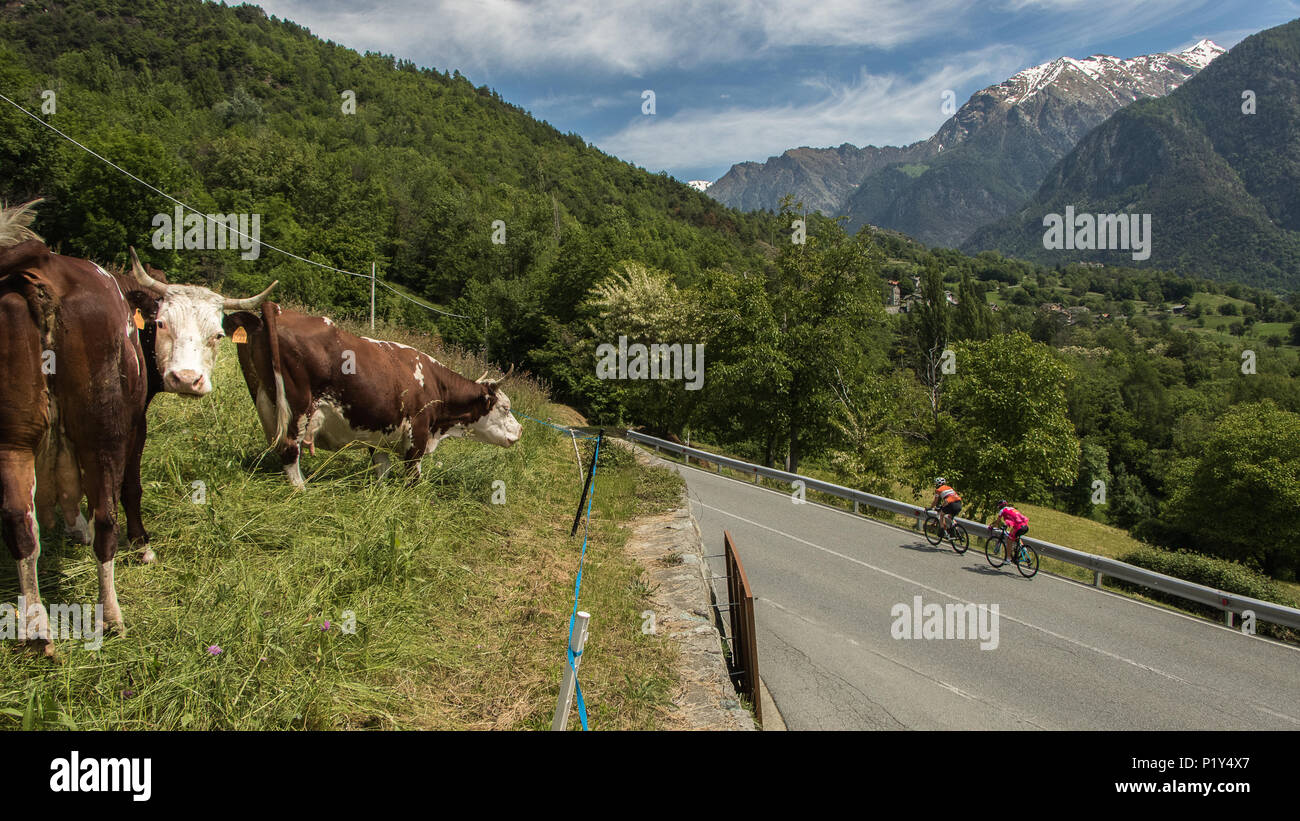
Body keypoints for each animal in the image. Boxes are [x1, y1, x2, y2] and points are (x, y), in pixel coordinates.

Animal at [0, 202, 274, 652]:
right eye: (162, 324)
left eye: (217, 334)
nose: (186, 379)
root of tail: (44, 266)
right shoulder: (135, 422)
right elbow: (129, 486)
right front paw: (140, 544)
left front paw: (73, 525)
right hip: (105, 432)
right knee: (106, 517)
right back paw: (111, 615)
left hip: (15, 439)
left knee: (21, 525)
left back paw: (37, 629)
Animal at [223, 302, 522, 488]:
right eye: (506, 407)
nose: (520, 430)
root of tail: (275, 309)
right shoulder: (417, 433)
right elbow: (413, 477)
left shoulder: (380, 432)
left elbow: (382, 471)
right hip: (298, 407)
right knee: (289, 450)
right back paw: (302, 491)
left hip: (264, 398)